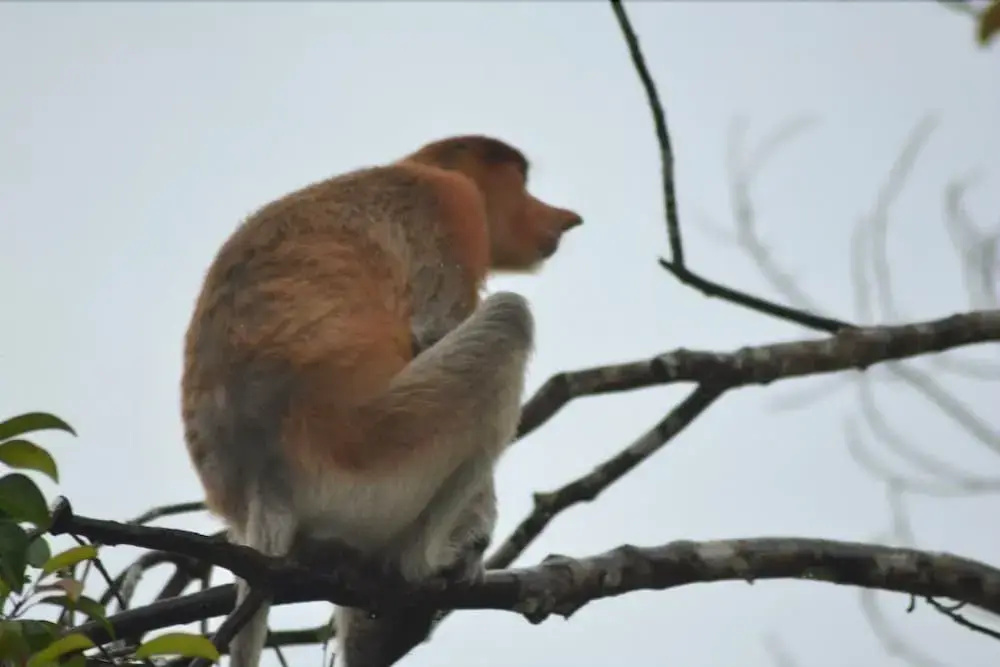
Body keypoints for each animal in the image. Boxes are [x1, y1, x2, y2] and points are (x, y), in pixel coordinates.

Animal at [180, 135, 582, 667]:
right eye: (520, 180)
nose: (562, 219)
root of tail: (264, 486)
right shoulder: (451, 205)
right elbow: (435, 329)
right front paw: (471, 541)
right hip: (374, 454)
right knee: (508, 318)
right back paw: (426, 567)